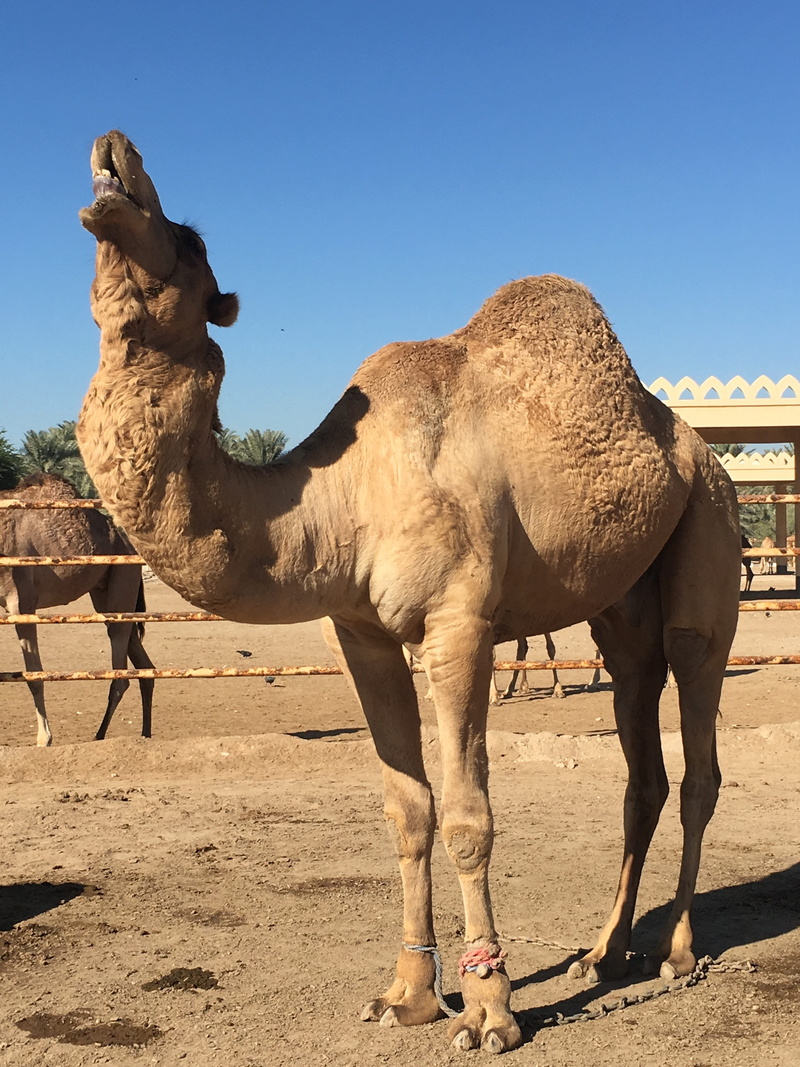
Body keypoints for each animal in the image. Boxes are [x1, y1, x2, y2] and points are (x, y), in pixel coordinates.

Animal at [0, 472, 155, 745]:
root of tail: (127, 542)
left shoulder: (22, 603)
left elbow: (34, 677)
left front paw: (44, 740)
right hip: (108, 594)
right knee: (145, 666)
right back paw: (145, 735)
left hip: (123, 575)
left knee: (120, 674)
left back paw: (100, 736)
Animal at [77, 130, 741, 1054]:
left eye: (190, 239)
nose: (114, 156)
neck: (341, 496)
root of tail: (702, 452)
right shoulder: (358, 632)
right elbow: (408, 808)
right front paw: (409, 994)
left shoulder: (459, 622)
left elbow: (466, 815)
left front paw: (491, 1009)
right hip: (622, 608)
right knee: (639, 756)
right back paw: (603, 952)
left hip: (707, 535)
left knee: (698, 745)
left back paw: (676, 952)